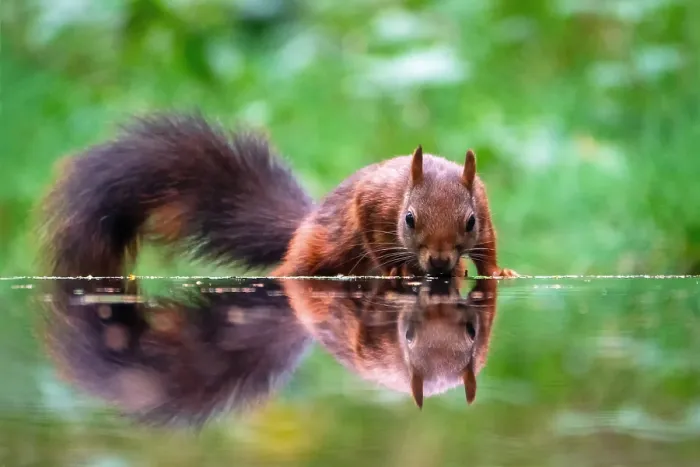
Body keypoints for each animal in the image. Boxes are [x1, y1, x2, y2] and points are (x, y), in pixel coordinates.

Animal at [39, 112, 517, 280]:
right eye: (410, 220)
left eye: (469, 221)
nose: (438, 262)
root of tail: (304, 224)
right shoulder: (371, 203)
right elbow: (376, 242)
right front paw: (396, 270)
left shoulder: (484, 203)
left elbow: (489, 246)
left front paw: (496, 271)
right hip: (315, 248)